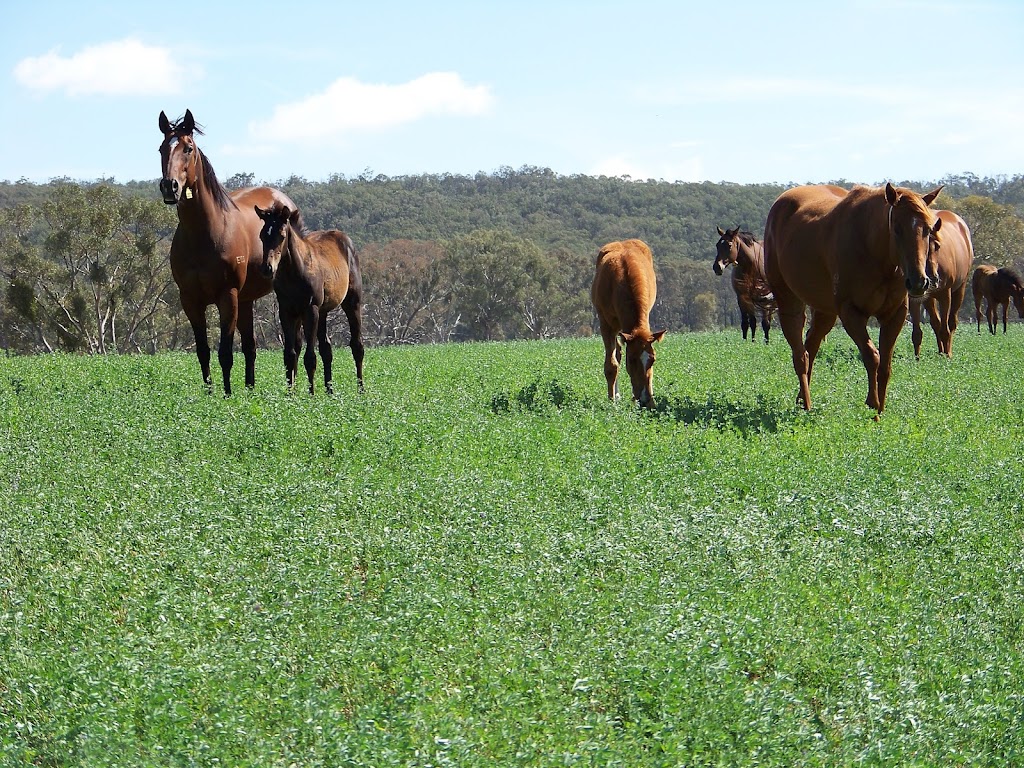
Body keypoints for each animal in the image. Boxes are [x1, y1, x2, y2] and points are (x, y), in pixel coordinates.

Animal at [157, 109, 299, 397]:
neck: (204, 234)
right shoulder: (190, 300)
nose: (170, 186)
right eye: (161, 148)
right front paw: (210, 393)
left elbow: (225, 353)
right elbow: (203, 351)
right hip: (246, 300)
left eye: (188, 147)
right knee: (251, 346)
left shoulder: (227, 296)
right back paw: (250, 388)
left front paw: (227, 395)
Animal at [253, 201, 366, 393]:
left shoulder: (310, 309)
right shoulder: (287, 311)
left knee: (357, 345)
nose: (267, 268)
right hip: (323, 311)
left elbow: (310, 357)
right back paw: (329, 391)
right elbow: (290, 355)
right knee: (326, 348)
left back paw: (360, 390)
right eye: (262, 236)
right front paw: (290, 394)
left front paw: (311, 394)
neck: (295, 271)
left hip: (352, 303)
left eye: (282, 235)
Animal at [589, 239, 667, 409]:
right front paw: (612, 401)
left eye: (653, 359)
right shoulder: (606, 325)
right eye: (632, 359)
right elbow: (611, 366)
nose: (646, 400)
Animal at [761, 182, 942, 415]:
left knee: (811, 346)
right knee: (800, 355)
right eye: (897, 229)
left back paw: (802, 399)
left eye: (928, 229)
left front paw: (880, 411)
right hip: (789, 301)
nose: (919, 282)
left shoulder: (894, 315)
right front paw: (872, 404)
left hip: (825, 311)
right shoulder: (851, 312)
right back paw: (806, 405)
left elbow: (885, 365)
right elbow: (872, 356)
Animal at [909, 208, 970, 360]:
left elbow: (945, 329)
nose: (933, 278)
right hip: (929, 299)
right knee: (936, 323)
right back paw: (941, 351)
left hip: (960, 289)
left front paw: (947, 356)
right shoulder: (914, 298)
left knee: (951, 323)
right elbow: (917, 333)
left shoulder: (945, 295)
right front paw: (917, 359)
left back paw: (947, 352)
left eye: (937, 246)